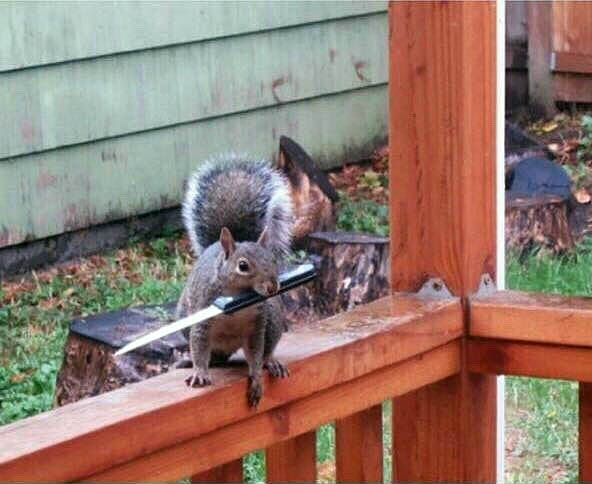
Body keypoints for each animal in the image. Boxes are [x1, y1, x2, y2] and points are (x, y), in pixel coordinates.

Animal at [176, 153, 296, 406]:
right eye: (243, 266)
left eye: (273, 260)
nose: (273, 287)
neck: (237, 296)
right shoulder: (203, 311)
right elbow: (199, 344)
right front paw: (199, 372)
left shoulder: (257, 324)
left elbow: (256, 352)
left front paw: (257, 379)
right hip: (184, 318)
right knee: (212, 356)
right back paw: (192, 361)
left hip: (273, 319)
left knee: (266, 349)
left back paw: (271, 362)